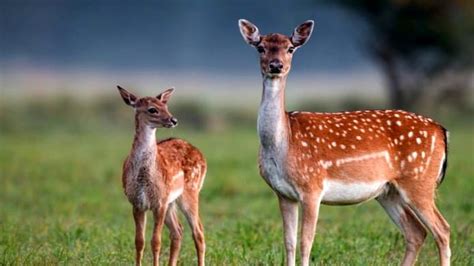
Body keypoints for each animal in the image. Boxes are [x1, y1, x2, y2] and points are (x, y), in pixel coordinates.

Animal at [116, 86, 206, 264]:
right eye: (152, 109)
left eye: (166, 106)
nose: (173, 120)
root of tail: (201, 155)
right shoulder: (137, 203)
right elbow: (139, 241)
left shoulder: (159, 202)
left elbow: (156, 241)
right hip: (171, 201)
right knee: (178, 231)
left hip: (191, 192)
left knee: (198, 232)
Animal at [239, 19, 450, 266]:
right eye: (260, 48)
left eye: (290, 48)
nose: (276, 65)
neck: (283, 143)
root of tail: (441, 131)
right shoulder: (283, 193)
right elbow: (289, 241)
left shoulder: (312, 187)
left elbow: (306, 241)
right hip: (388, 191)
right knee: (416, 232)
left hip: (419, 181)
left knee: (442, 229)